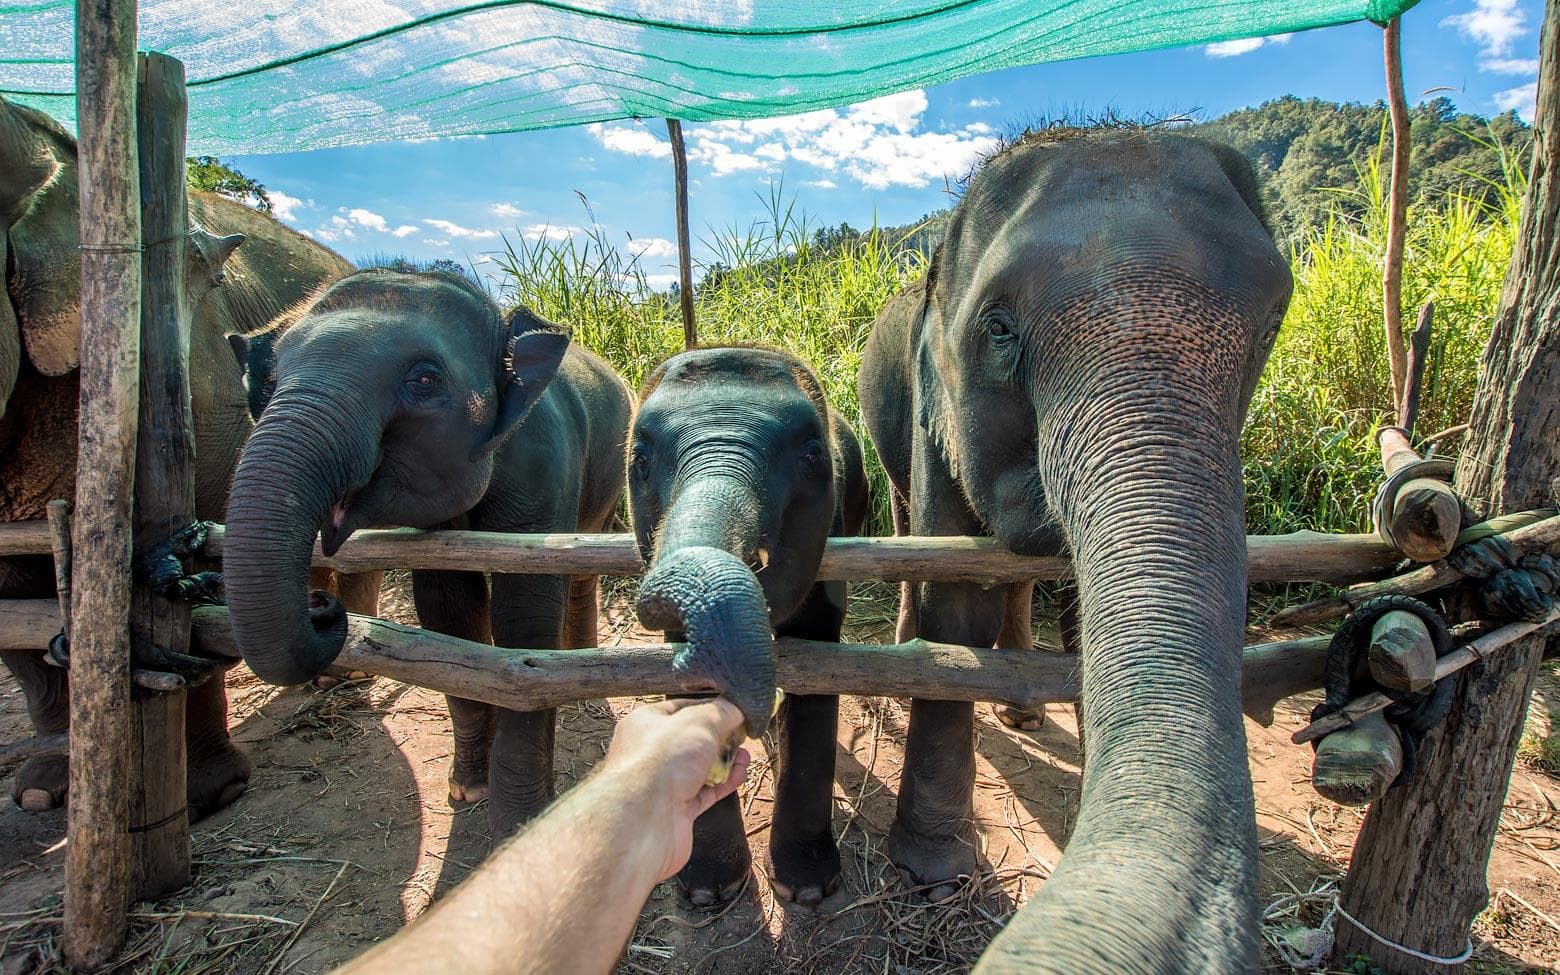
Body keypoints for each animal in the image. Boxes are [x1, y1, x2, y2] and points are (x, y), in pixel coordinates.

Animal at [221, 268, 633, 836]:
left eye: (424, 380)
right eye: (271, 380)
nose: (321, 605)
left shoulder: (545, 465)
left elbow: (524, 620)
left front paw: (522, 822)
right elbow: (447, 612)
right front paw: (468, 790)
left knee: (581, 570)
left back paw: (580, 670)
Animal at [854, 127, 1291, 967]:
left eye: (1269, 330)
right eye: (998, 328)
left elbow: (1084, 615)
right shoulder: (932, 407)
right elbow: (953, 601)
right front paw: (935, 873)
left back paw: (1024, 713)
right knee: (905, 527)